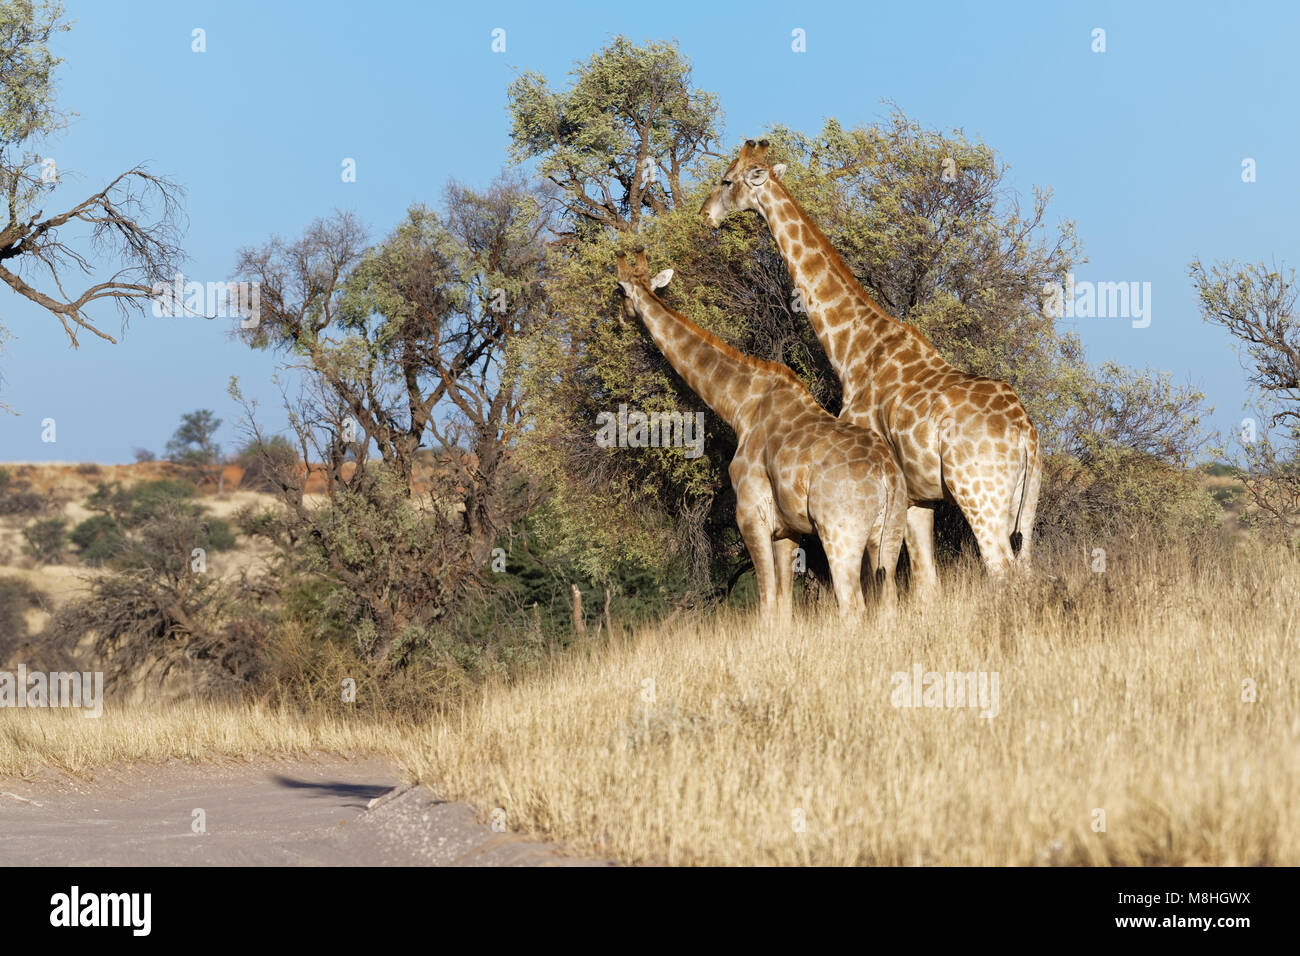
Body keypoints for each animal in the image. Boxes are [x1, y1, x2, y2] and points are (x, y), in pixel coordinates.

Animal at [611, 248, 904, 621]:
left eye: (618, 290)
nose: (621, 319)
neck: (740, 407)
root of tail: (887, 475)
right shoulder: (787, 529)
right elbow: (783, 606)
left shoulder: (750, 515)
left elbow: (766, 604)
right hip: (889, 534)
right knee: (889, 600)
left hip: (841, 533)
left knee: (853, 605)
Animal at [696, 141, 1040, 590]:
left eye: (726, 181)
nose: (704, 214)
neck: (853, 349)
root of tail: (1024, 434)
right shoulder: (918, 496)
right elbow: (925, 581)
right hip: (1024, 507)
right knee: (1027, 566)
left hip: (980, 496)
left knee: (1002, 569)